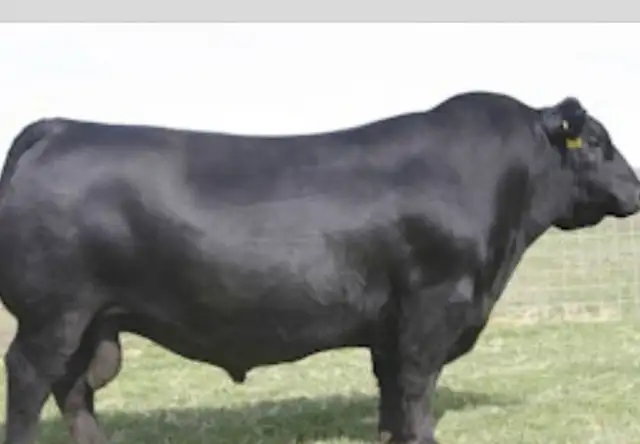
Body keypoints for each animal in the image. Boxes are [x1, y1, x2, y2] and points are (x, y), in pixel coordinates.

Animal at [0, 90, 638, 444]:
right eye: (597, 142)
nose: (635, 188)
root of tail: (59, 127)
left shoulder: (390, 324)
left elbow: (390, 395)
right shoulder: (433, 306)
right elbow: (416, 388)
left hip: (92, 322)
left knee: (75, 390)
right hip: (53, 315)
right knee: (29, 379)